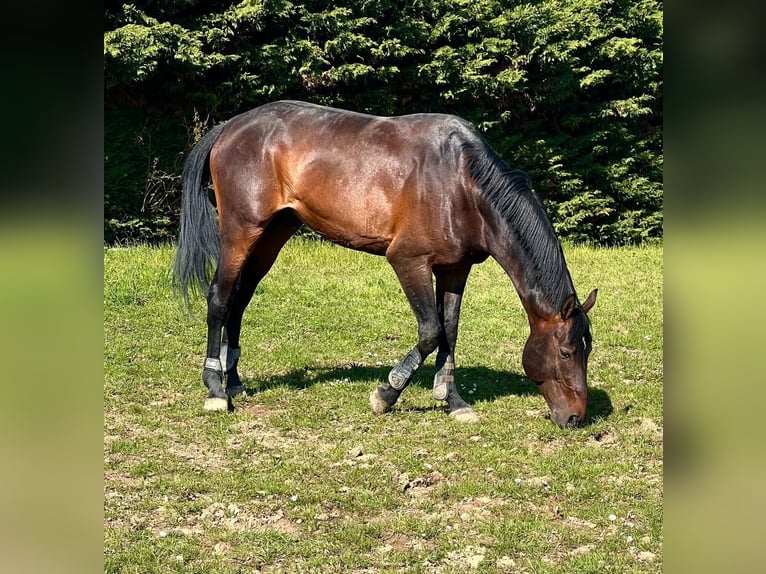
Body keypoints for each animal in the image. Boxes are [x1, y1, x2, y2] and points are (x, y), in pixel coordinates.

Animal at [173, 100, 597, 428]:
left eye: (587, 350)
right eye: (565, 352)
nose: (576, 417)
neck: (462, 182)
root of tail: (229, 127)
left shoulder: (455, 268)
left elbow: (450, 331)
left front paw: (453, 400)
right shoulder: (408, 261)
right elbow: (431, 332)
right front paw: (387, 394)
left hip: (272, 234)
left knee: (240, 299)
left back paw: (233, 379)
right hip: (240, 231)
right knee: (219, 299)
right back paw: (215, 389)